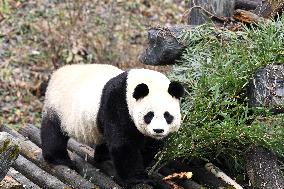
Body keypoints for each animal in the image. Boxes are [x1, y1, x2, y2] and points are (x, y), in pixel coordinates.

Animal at [40, 63, 184, 186]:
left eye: (167, 115)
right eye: (150, 115)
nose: (158, 130)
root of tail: (56, 73)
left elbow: (149, 146)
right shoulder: (117, 104)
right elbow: (123, 144)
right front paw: (138, 179)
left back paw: (103, 156)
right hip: (58, 106)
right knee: (53, 132)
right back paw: (60, 159)